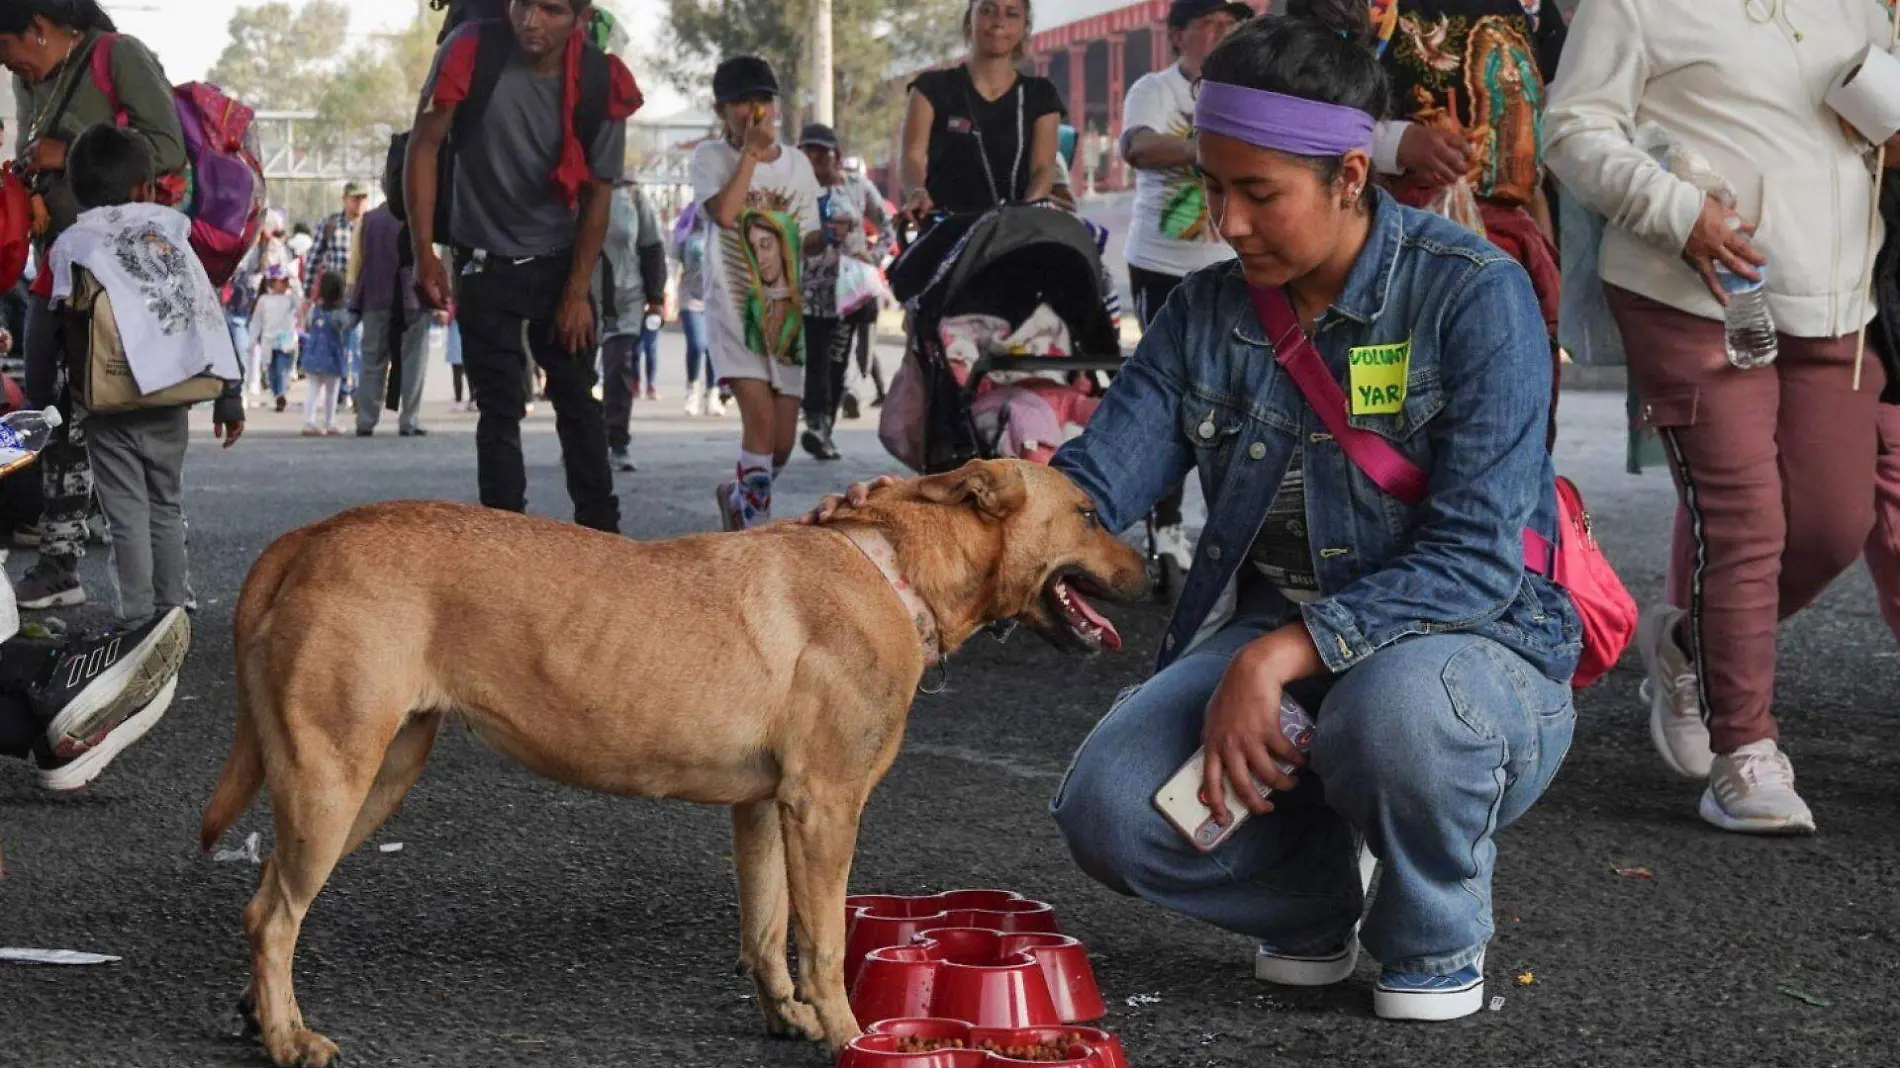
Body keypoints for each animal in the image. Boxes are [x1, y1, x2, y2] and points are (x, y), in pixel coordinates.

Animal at [200, 459, 1147, 1064]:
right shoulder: (826, 809)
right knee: (272, 915)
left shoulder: (764, 810)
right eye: (1089, 513)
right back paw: (289, 1037)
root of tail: (311, 534)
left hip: (373, 780)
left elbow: (766, 930)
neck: (896, 569)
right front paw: (848, 1033)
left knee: (266, 900)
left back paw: (258, 1012)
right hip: (333, 778)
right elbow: (824, 940)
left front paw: (786, 1015)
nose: (1150, 569)